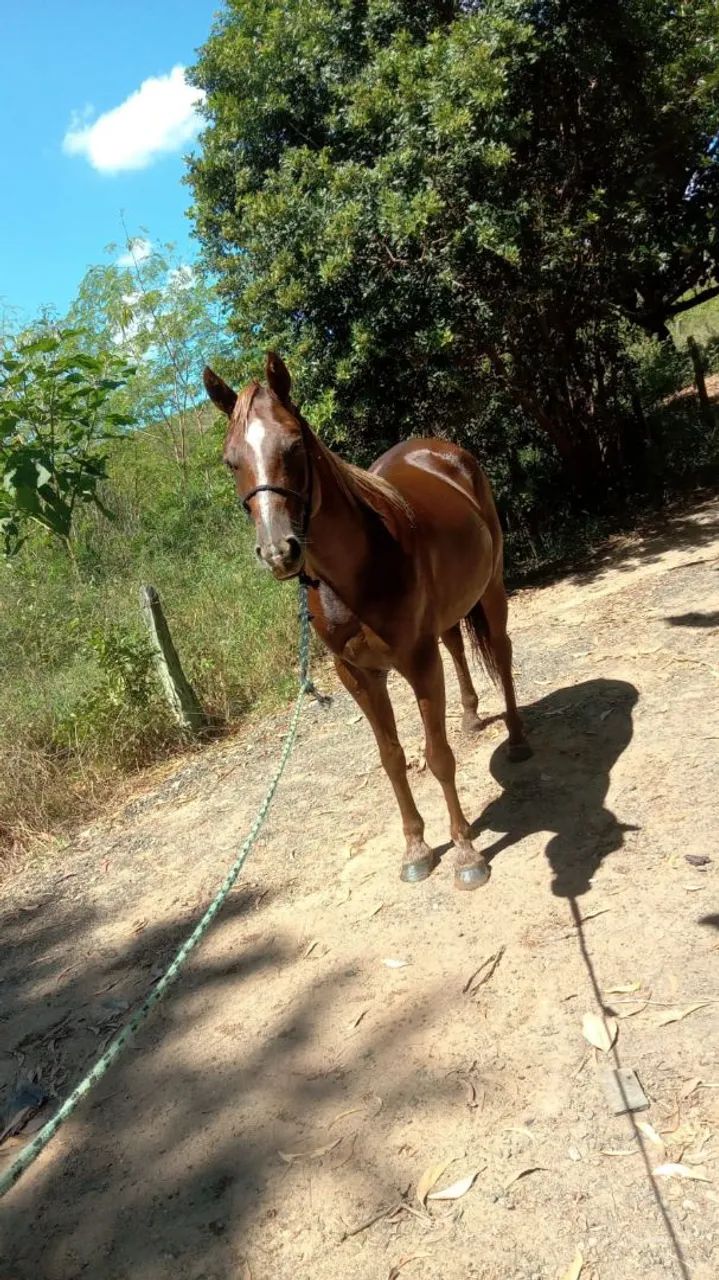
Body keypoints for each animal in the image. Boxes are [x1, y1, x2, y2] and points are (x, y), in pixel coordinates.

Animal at [204, 352, 531, 890]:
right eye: (231, 461)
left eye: (294, 444)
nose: (278, 552)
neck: (357, 571)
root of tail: (442, 450)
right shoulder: (357, 674)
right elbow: (392, 758)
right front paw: (417, 848)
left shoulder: (418, 663)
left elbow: (437, 756)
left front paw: (466, 853)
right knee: (456, 645)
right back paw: (470, 717)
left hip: (493, 588)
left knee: (501, 654)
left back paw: (519, 741)